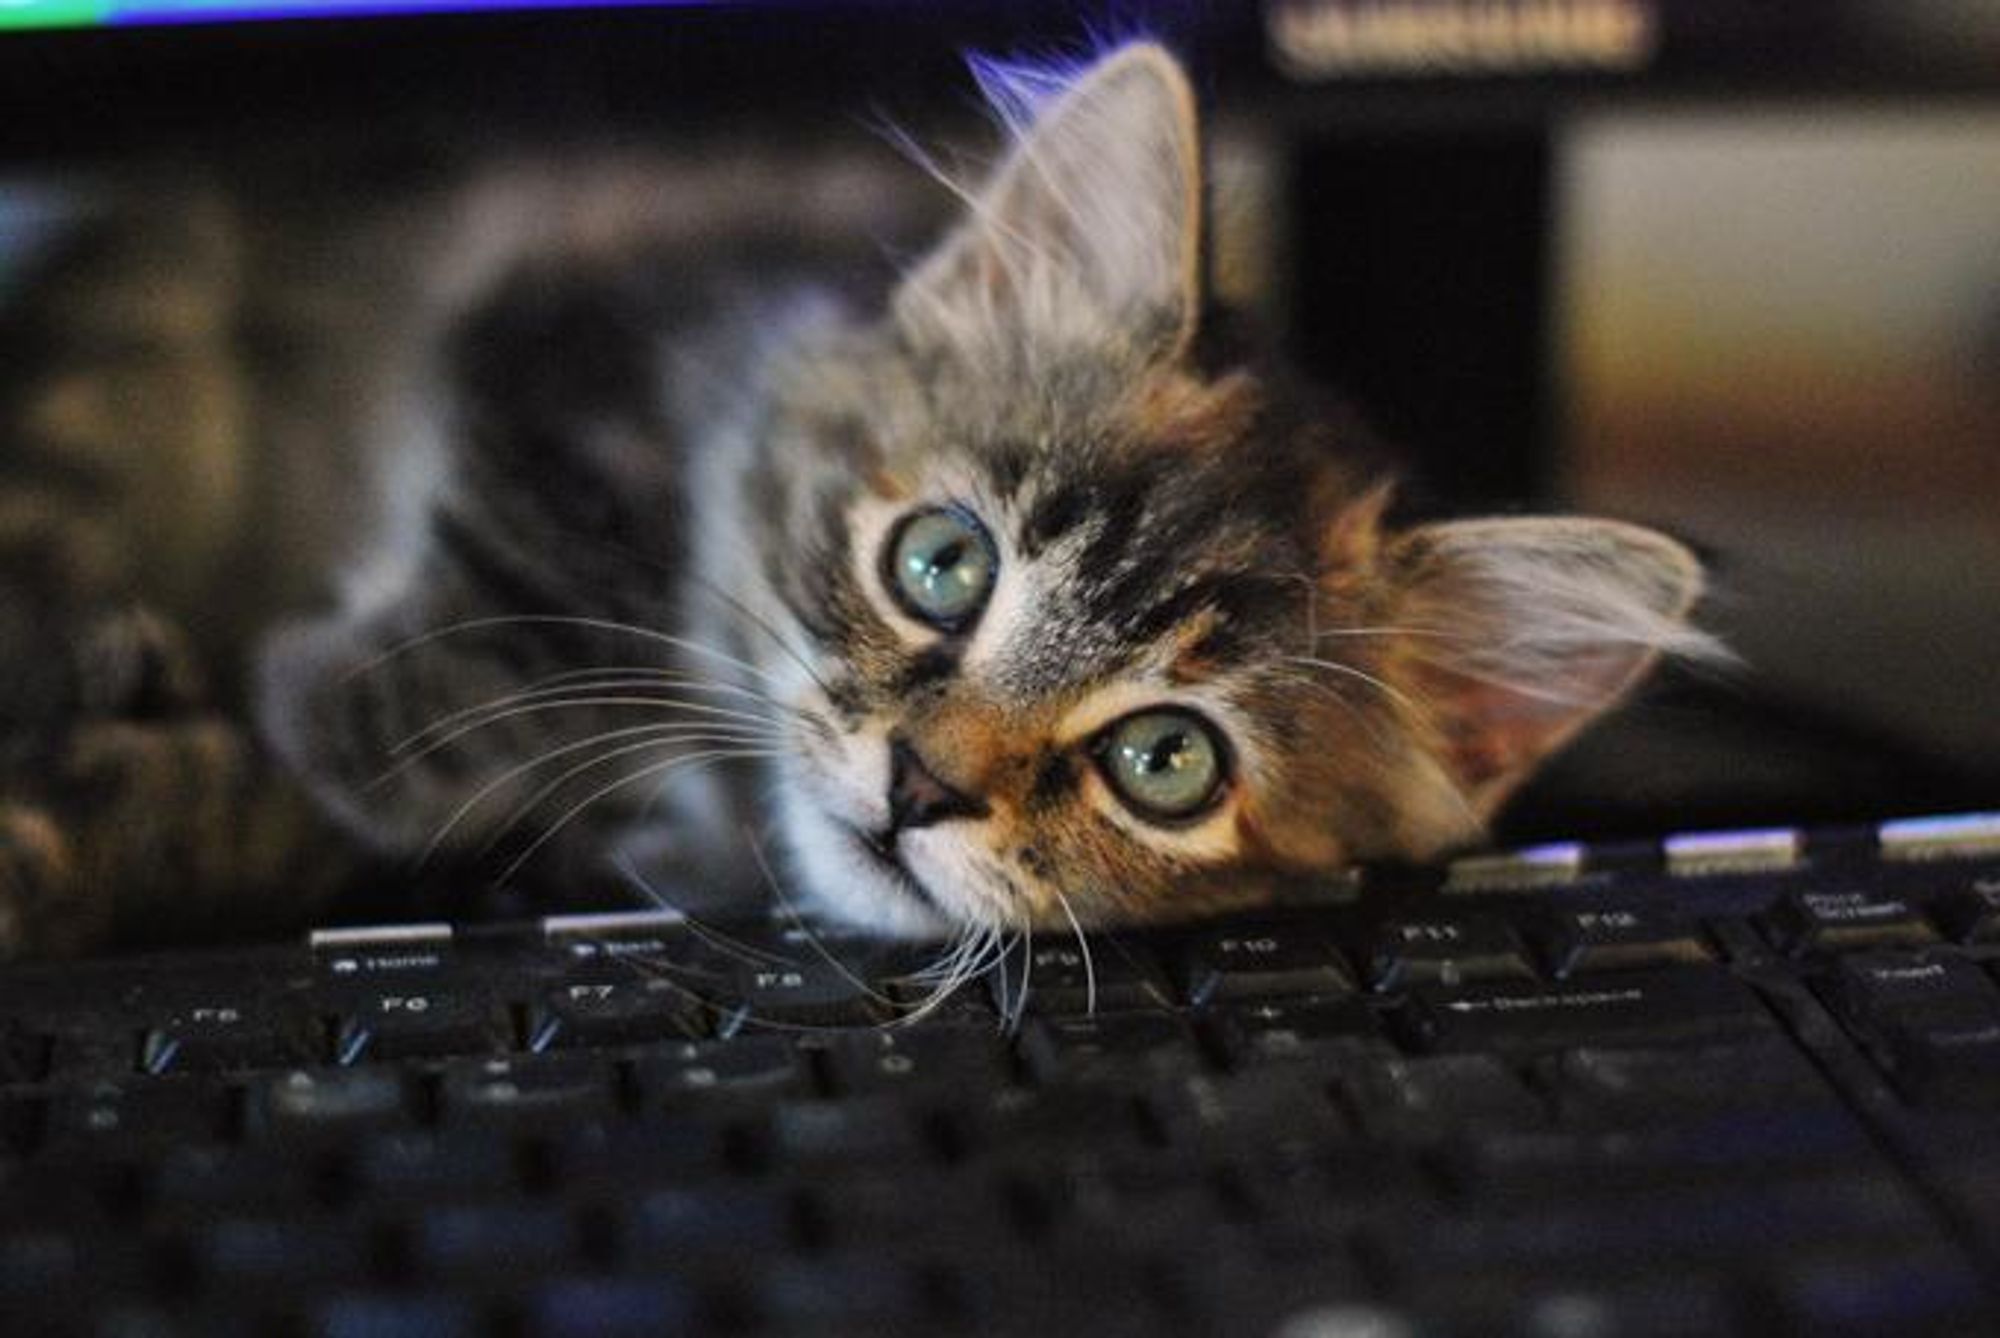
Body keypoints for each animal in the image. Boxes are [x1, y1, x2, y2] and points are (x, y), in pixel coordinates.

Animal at [0, 41, 1720, 956]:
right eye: (942, 564)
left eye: (1167, 761)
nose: (918, 787)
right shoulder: (571, 302)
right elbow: (537, 566)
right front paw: (346, 701)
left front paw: (248, 757)